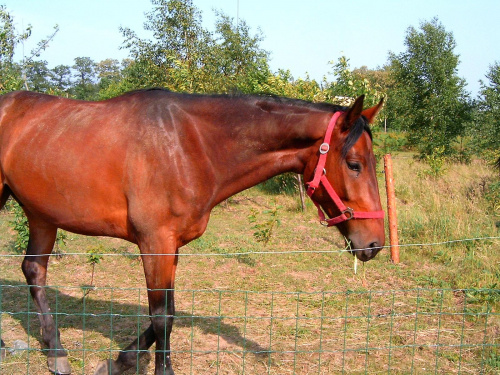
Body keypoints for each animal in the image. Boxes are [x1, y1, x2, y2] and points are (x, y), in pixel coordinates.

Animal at [0, 89, 384, 374]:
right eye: (354, 164)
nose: (374, 244)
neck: (190, 146)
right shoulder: (155, 242)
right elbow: (161, 316)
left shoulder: (171, 247)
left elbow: (166, 312)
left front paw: (122, 360)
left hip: (41, 215)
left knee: (34, 270)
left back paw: (55, 351)